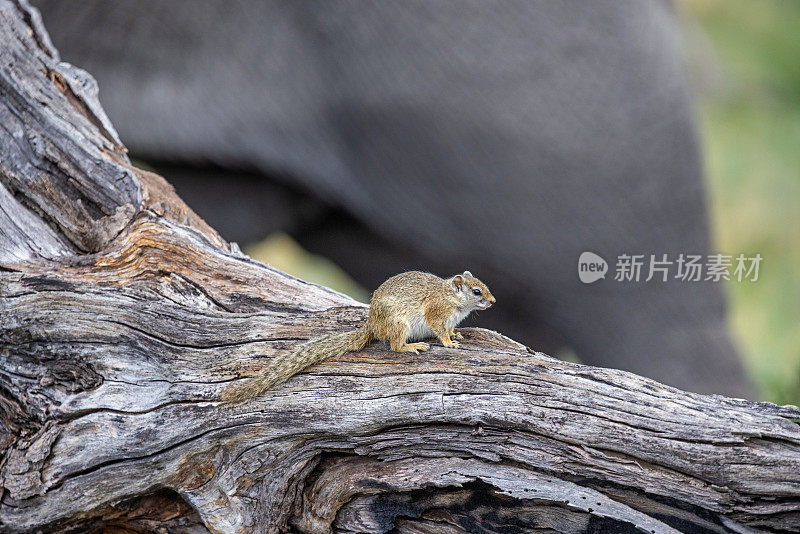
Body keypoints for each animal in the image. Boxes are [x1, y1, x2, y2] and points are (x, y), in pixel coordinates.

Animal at [219, 270, 494, 404]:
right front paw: (449, 342)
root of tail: (372, 325)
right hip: (399, 324)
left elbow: (450, 329)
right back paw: (412, 347)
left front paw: (456, 334)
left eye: (484, 286)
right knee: (395, 346)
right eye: (476, 291)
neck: (452, 298)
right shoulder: (436, 313)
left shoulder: (449, 320)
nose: (493, 301)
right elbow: (440, 331)